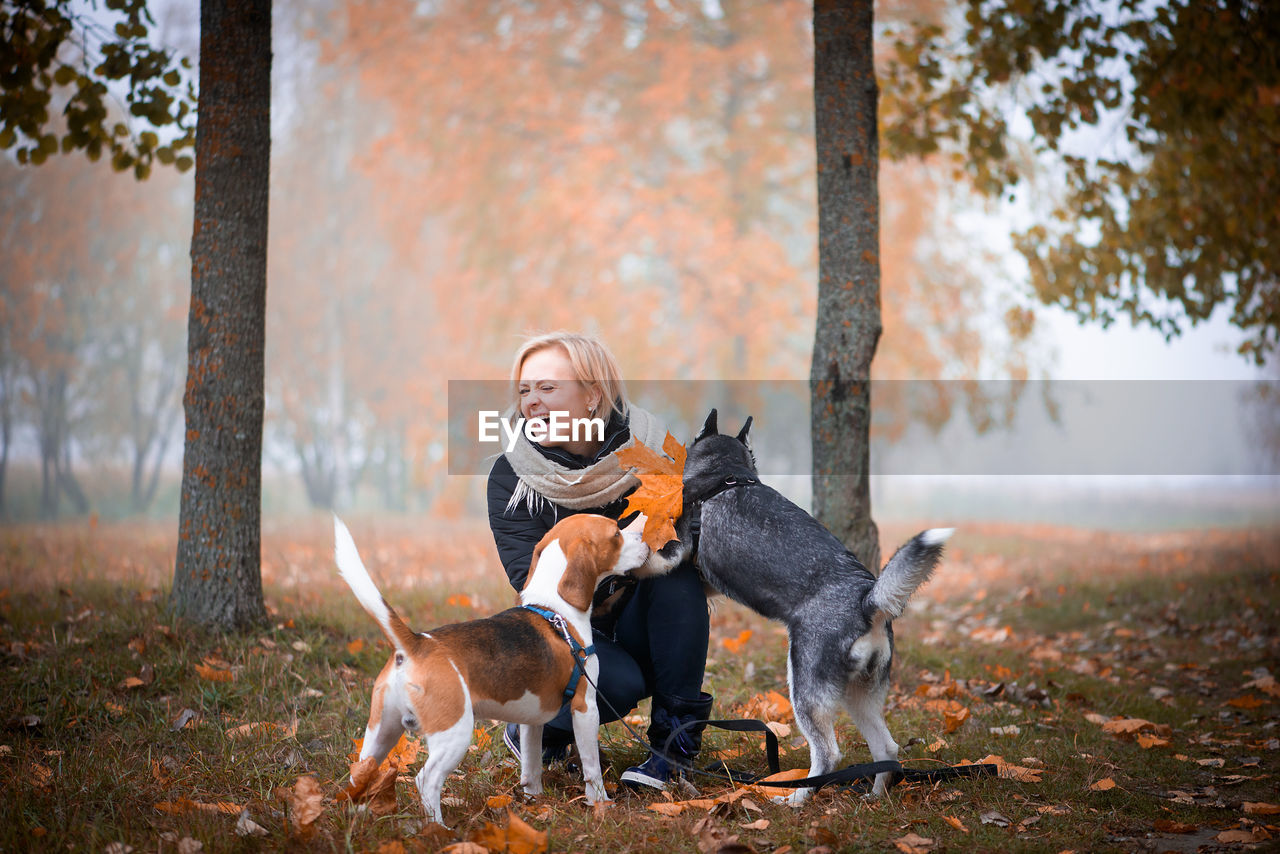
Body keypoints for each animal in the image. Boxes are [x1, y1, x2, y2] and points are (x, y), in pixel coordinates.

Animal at [335, 512, 650, 824]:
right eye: (616, 534)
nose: (646, 538)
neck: (556, 608)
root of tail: (416, 644)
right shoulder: (585, 707)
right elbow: (591, 766)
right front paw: (601, 804)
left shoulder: (532, 719)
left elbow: (531, 766)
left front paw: (535, 802)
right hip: (455, 732)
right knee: (427, 780)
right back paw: (439, 829)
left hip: (380, 732)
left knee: (359, 774)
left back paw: (355, 816)